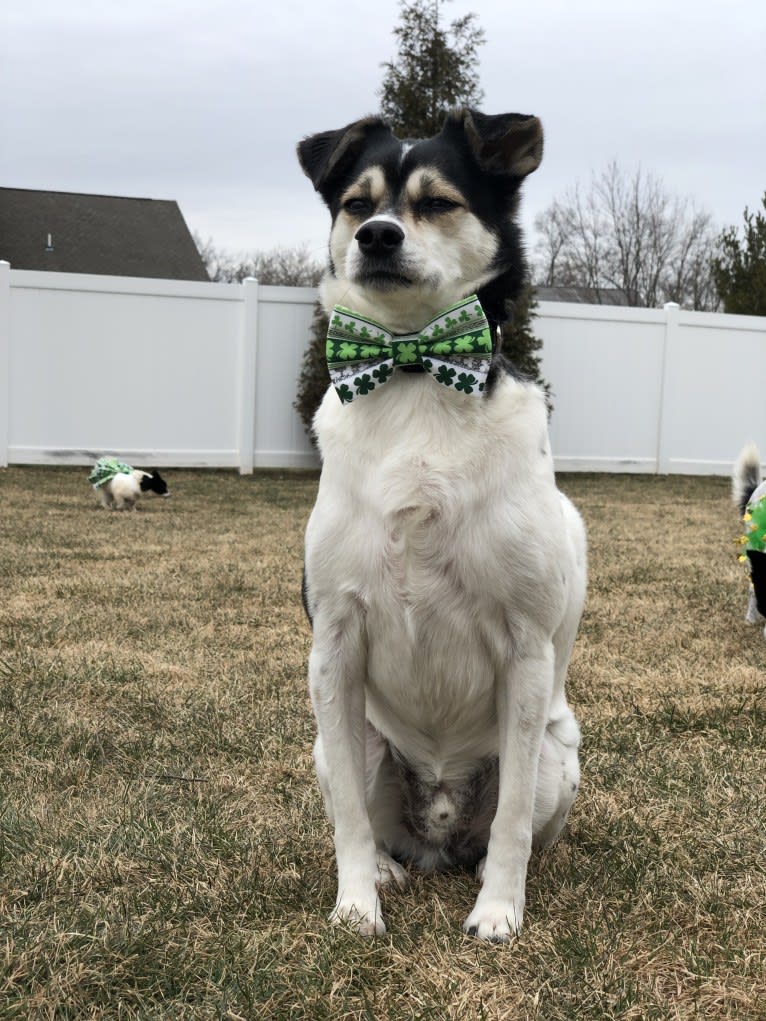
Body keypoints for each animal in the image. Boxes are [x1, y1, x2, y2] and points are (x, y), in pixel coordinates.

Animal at [296, 105, 584, 939]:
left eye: (437, 202)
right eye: (357, 203)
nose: (377, 236)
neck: (415, 367)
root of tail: (439, 831)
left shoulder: (525, 652)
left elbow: (514, 818)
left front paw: (500, 912)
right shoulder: (334, 648)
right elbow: (348, 818)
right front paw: (355, 902)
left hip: (557, 751)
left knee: (504, 825)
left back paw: (485, 871)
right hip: (346, 738)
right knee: (368, 815)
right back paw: (389, 869)